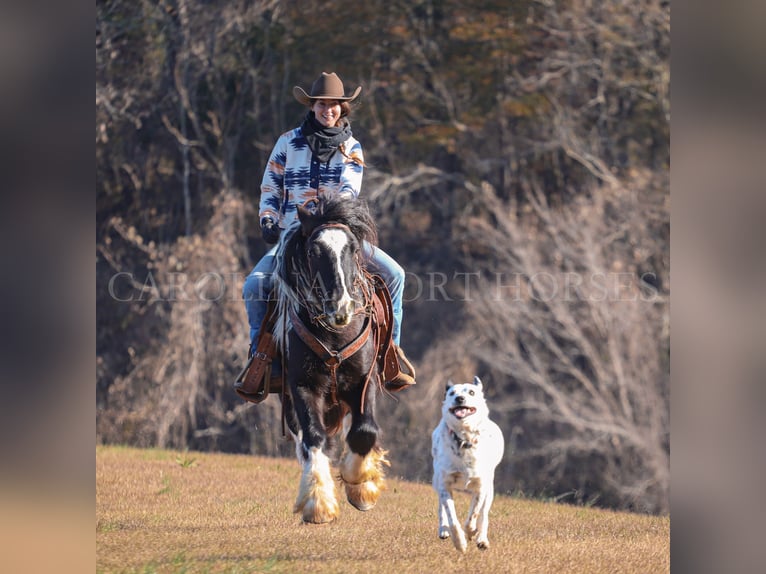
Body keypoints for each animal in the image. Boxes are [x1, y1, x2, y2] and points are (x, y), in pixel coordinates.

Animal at [272, 195, 388, 528]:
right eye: (313, 251)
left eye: (353, 249)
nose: (341, 307)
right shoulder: (302, 386)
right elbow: (314, 437)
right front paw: (319, 504)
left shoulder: (365, 380)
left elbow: (364, 431)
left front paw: (361, 485)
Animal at [432, 378, 504, 552]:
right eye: (452, 393)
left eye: (471, 392)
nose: (459, 399)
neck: (464, 439)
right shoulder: (445, 484)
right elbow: (452, 517)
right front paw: (460, 542)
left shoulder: (481, 486)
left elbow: (474, 515)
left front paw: (472, 533)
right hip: (436, 480)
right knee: (441, 508)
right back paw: (443, 530)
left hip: (490, 490)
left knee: (483, 515)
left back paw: (482, 539)